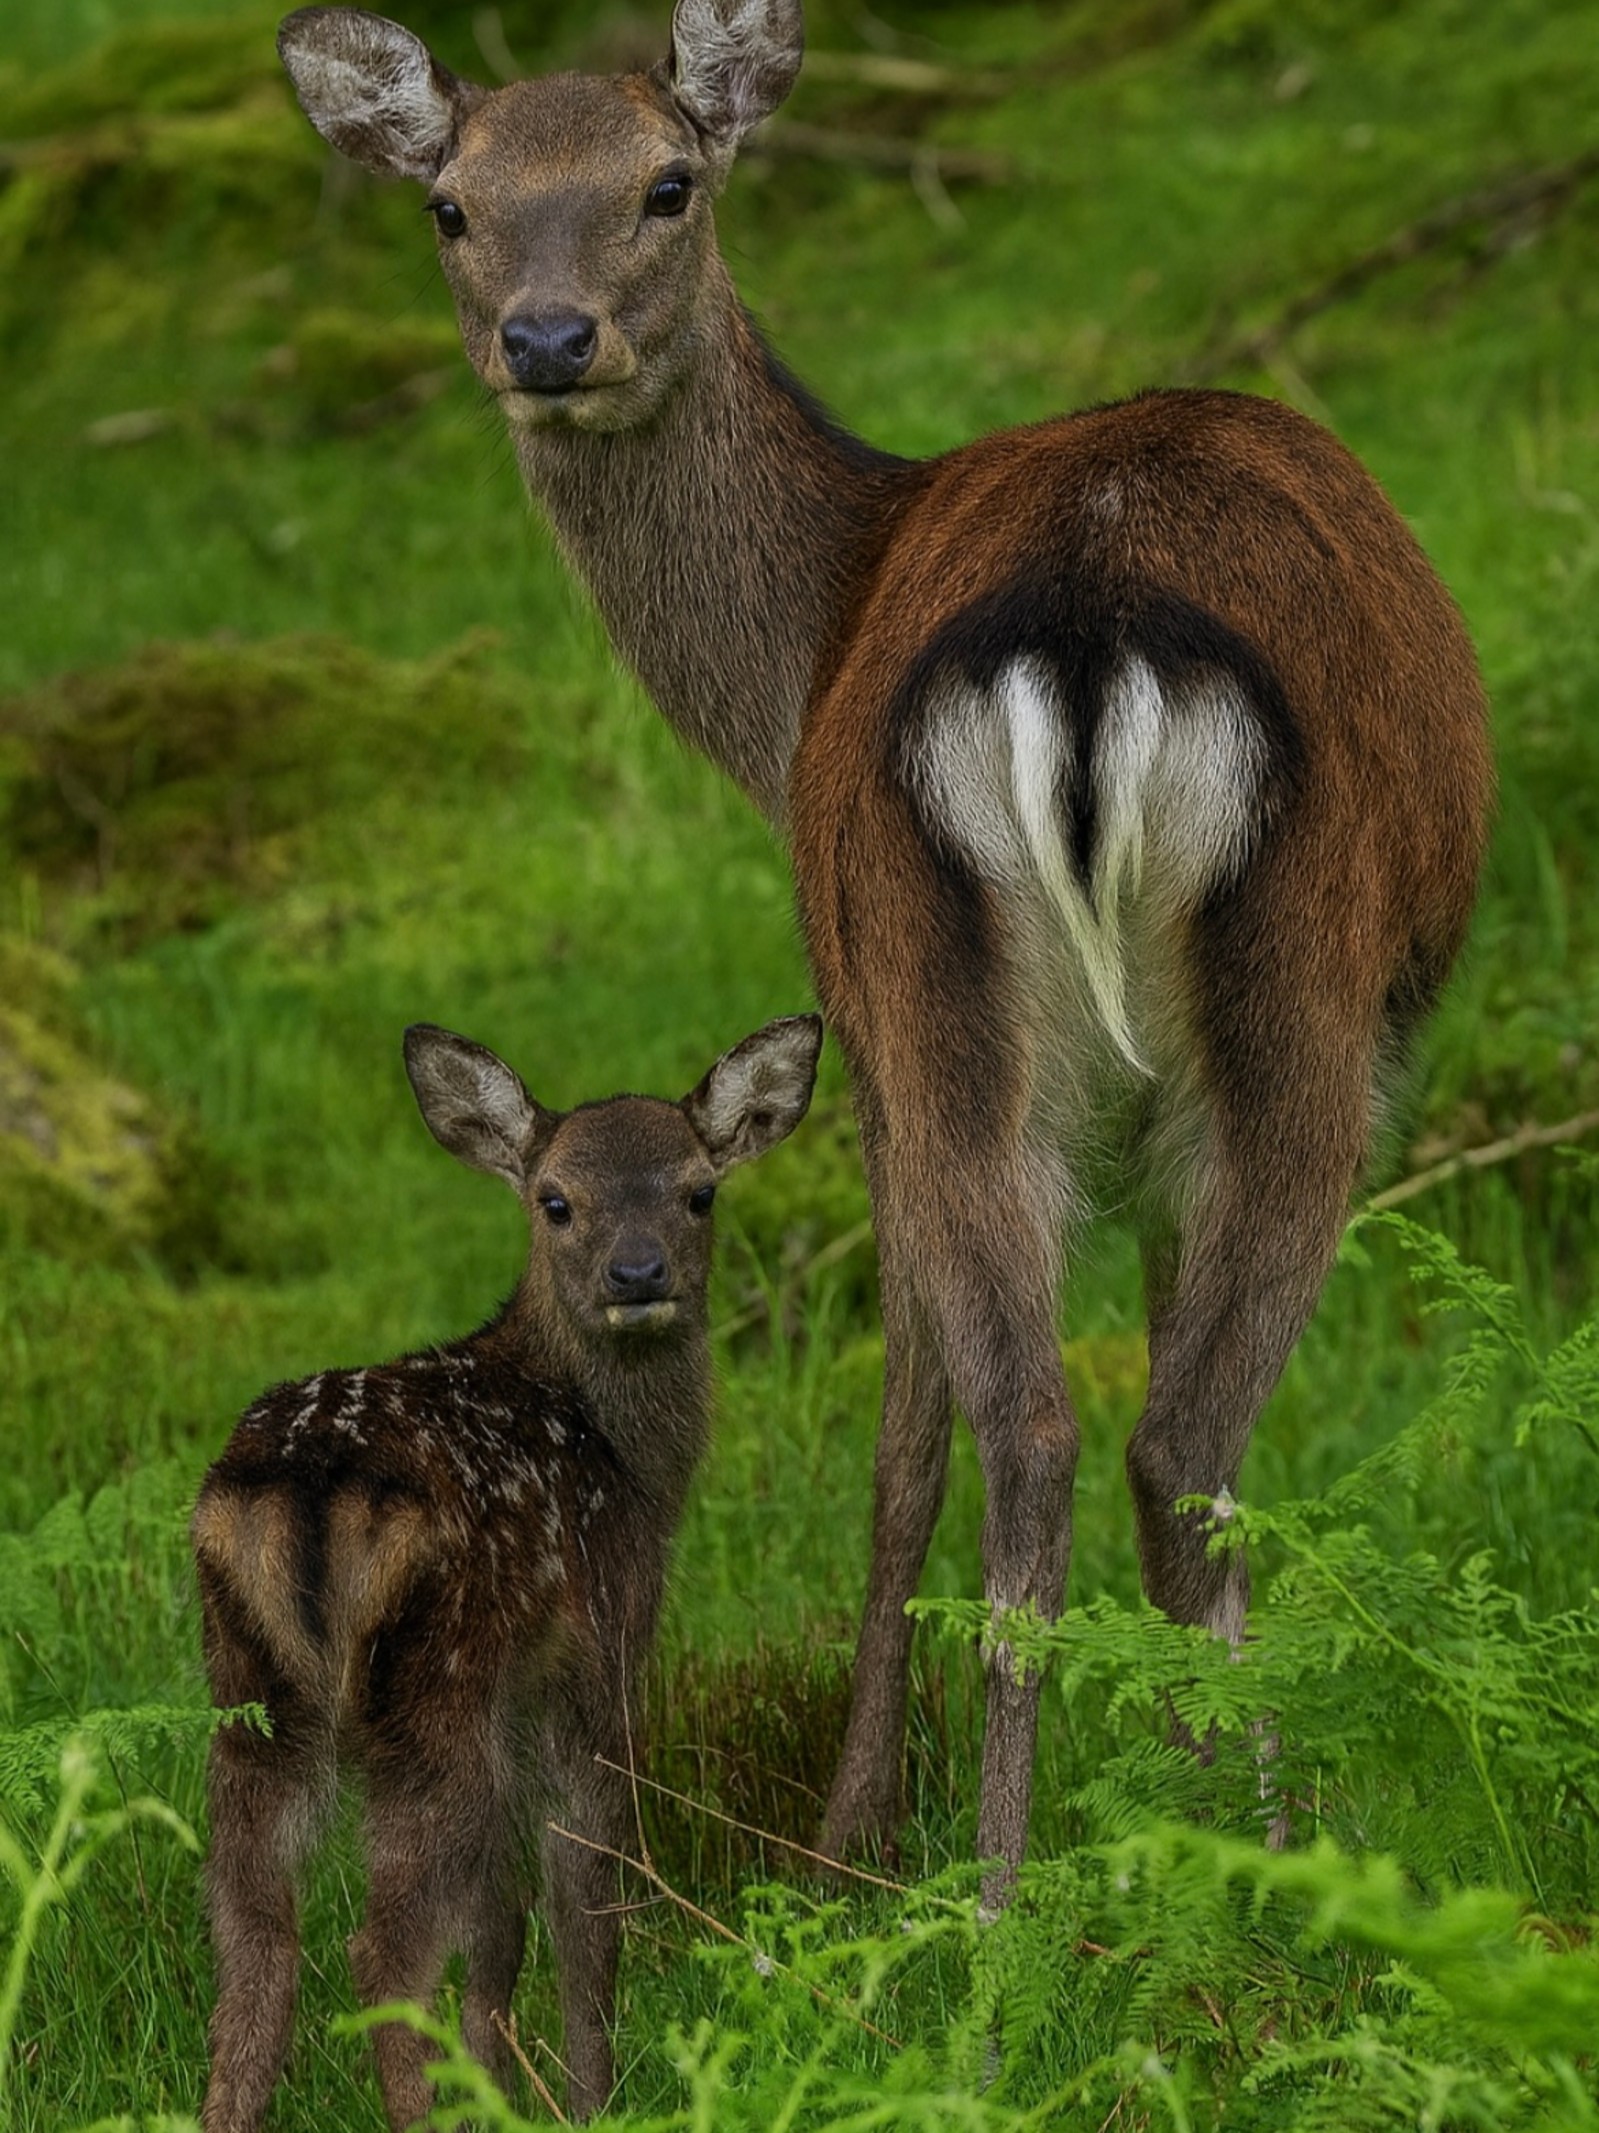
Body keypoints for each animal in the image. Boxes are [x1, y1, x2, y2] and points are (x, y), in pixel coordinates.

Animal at [192, 1012, 822, 2128]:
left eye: (700, 1190)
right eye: (555, 1199)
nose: (637, 1273)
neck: (632, 1469)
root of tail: (303, 1487)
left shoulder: (513, 1694)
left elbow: (501, 1924)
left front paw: (503, 2084)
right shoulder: (601, 1650)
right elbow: (586, 1895)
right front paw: (590, 2100)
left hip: (252, 1688)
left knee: (255, 1938)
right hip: (433, 1688)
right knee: (384, 1948)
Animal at [275, 2, 1494, 1902]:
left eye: (666, 182)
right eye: (450, 205)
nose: (547, 340)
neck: (795, 660)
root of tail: (1087, 630)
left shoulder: (866, 1027)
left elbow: (914, 1438)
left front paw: (909, 1818)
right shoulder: (873, 1036)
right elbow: (922, 1447)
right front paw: (904, 1817)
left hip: (971, 1010)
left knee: (1069, 1429)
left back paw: (1066, 1887)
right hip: (1207, 1014)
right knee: (1139, 1438)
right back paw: (1157, 1881)